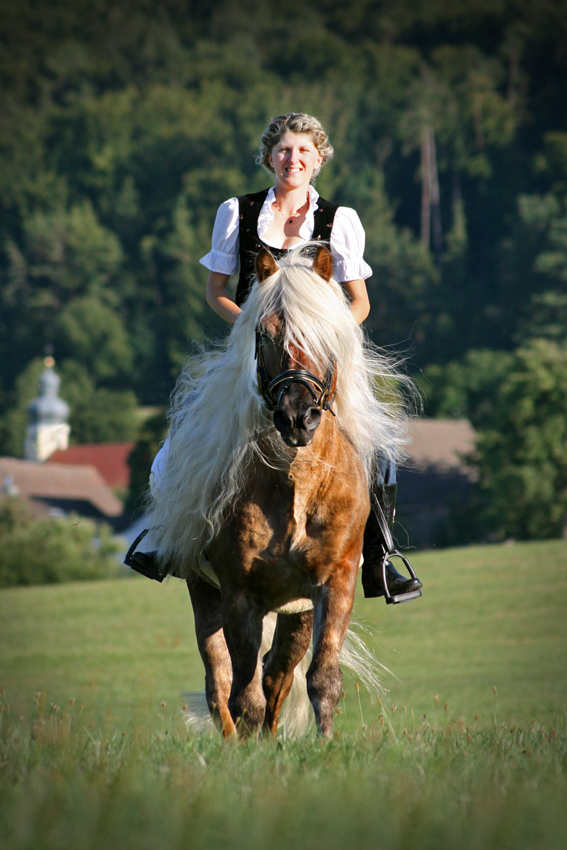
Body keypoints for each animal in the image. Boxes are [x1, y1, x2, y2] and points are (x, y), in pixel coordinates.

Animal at [150, 243, 408, 736]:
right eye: (264, 334)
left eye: (327, 335)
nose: (297, 417)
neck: (297, 482)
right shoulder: (239, 595)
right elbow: (243, 697)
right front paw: (251, 753)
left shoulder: (334, 583)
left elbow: (319, 679)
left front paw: (324, 744)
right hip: (204, 591)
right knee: (220, 685)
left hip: (295, 611)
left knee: (278, 675)